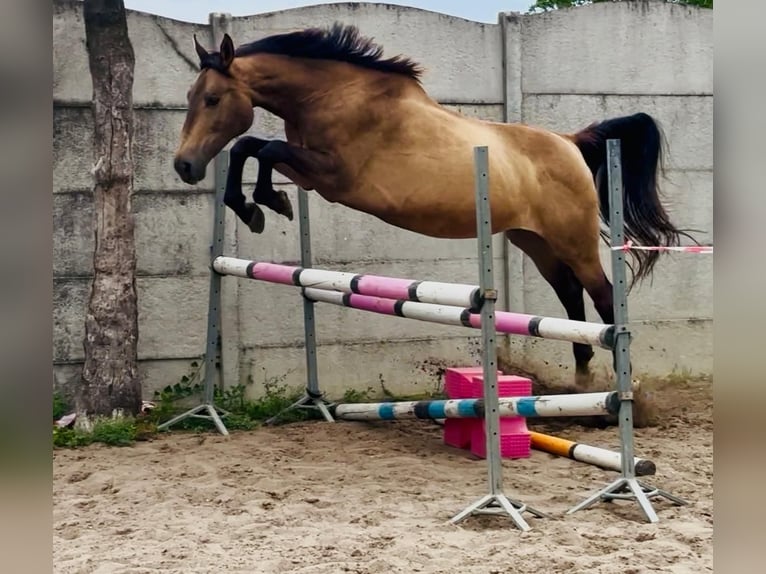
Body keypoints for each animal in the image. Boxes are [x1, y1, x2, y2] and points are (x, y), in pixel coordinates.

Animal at [173, 23, 696, 388]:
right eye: (191, 96)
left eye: (213, 98)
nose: (184, 166)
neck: (334, 95)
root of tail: (569, 142)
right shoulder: (311, 171)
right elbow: (252, 148)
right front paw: (259, 204)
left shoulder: (333, 176)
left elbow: (262, 149)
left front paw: (264, 204)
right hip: (535, 241)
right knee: (570, 294)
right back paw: (582, 377)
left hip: (574, 241)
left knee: (604, 296)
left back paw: (621, 389)